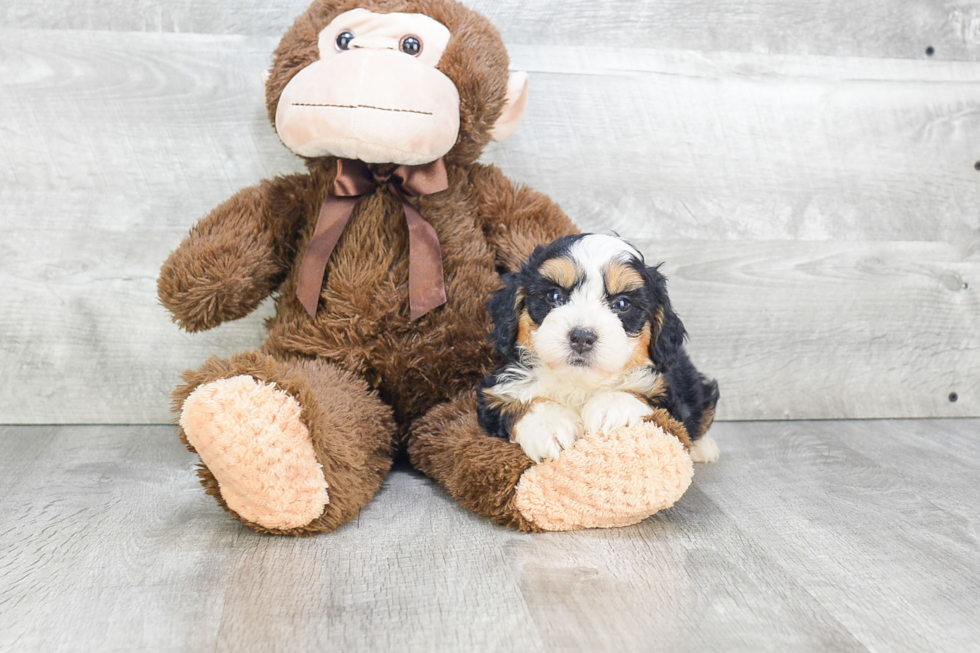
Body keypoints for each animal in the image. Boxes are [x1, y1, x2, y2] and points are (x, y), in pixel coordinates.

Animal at [476, 234, 720, 464]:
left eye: (622, 304)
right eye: (554, 295)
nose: (582, 337)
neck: (580, 383)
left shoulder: (669, 393)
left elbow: (644, 397)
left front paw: (610, 408)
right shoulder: (494, 392)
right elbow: (519, 403)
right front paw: (549, 426)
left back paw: (704, 448)